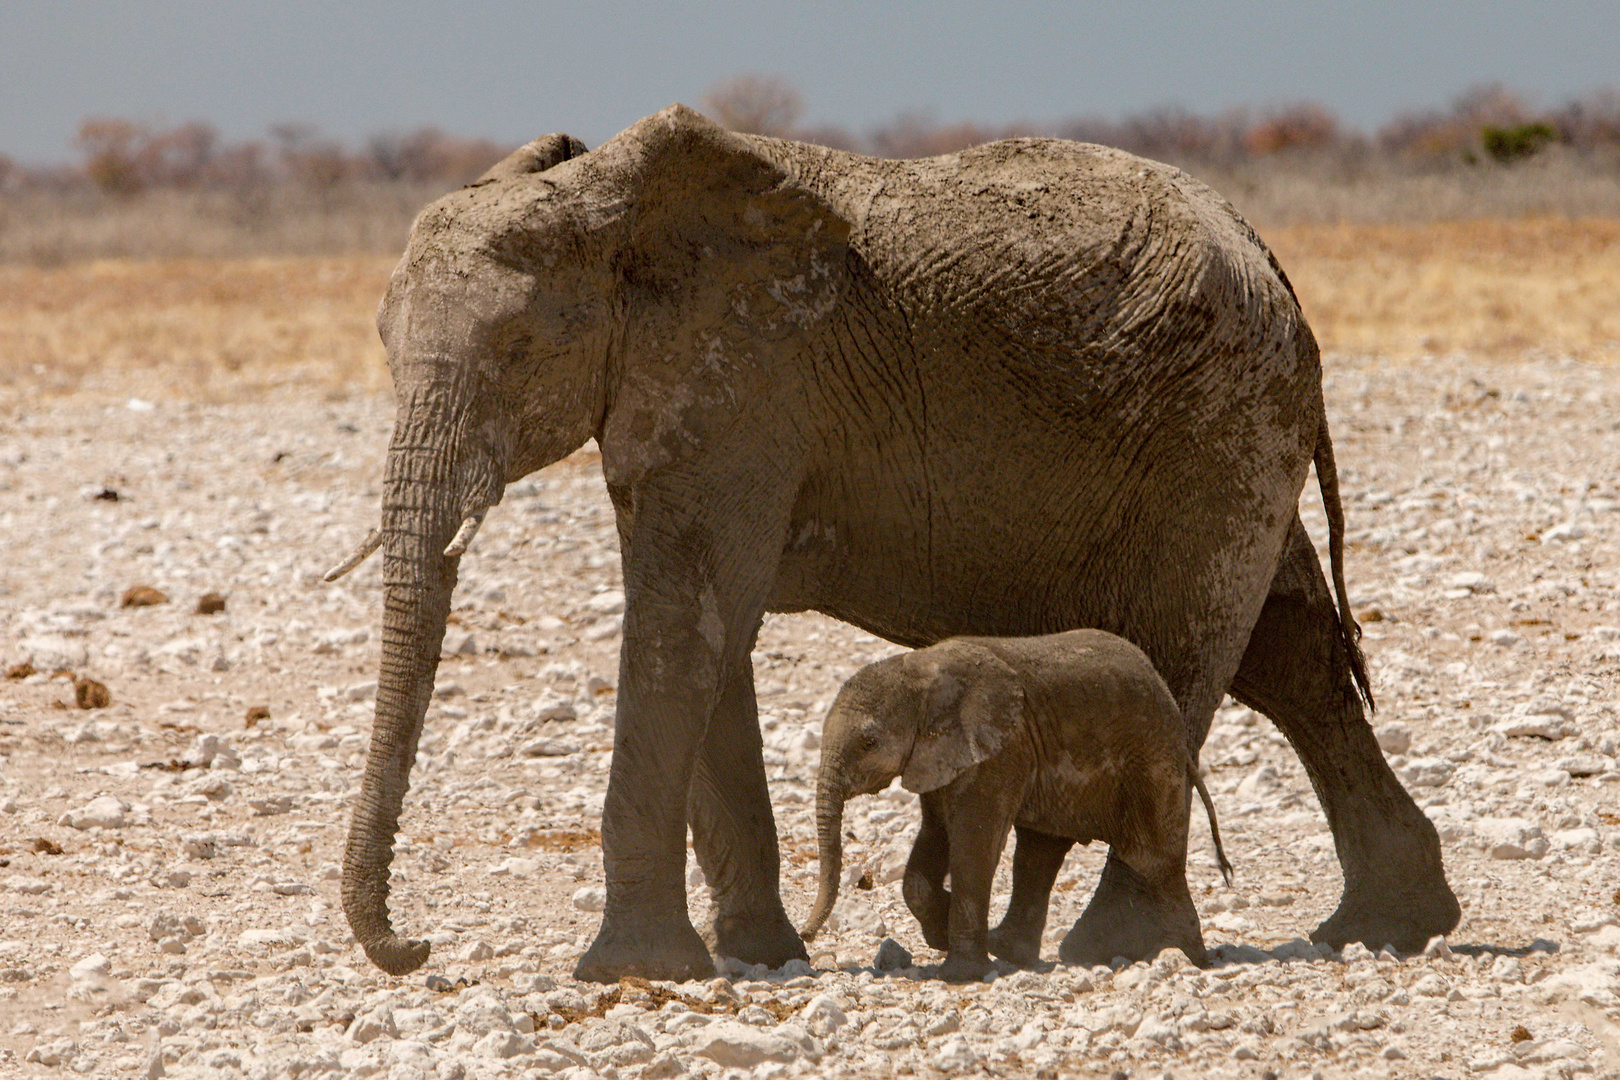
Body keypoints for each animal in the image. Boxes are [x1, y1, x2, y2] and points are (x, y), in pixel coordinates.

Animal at [803, 628, 1231, 984]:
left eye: (869, 742)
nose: (806, 935)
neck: (919, 669)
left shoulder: (1000, 750)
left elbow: (973, 845)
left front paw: (960, 974)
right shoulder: (940, 757)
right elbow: (933, 838)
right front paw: (940, 931)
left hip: (1151, 760)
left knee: (1152, 856)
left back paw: (1183, 956)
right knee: (1038, 854)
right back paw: (1010, 949)